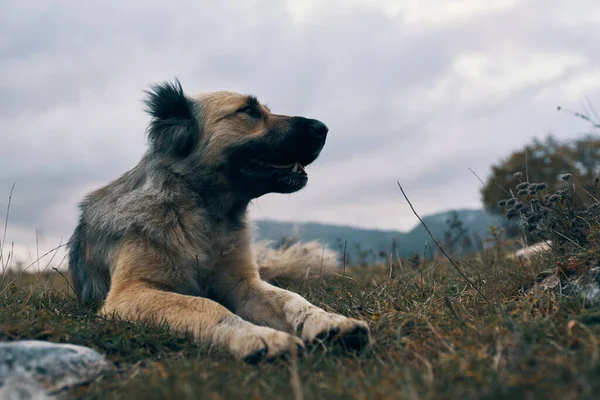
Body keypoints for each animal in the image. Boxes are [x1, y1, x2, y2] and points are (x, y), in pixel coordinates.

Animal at [69, 79, 370, 364]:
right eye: (248, 111)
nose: (323, 128)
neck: (204, 217)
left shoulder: (245, 285)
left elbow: (291, 299)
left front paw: (327, 321)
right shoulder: (131, 292)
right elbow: (207, 306)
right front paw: (259, 337)